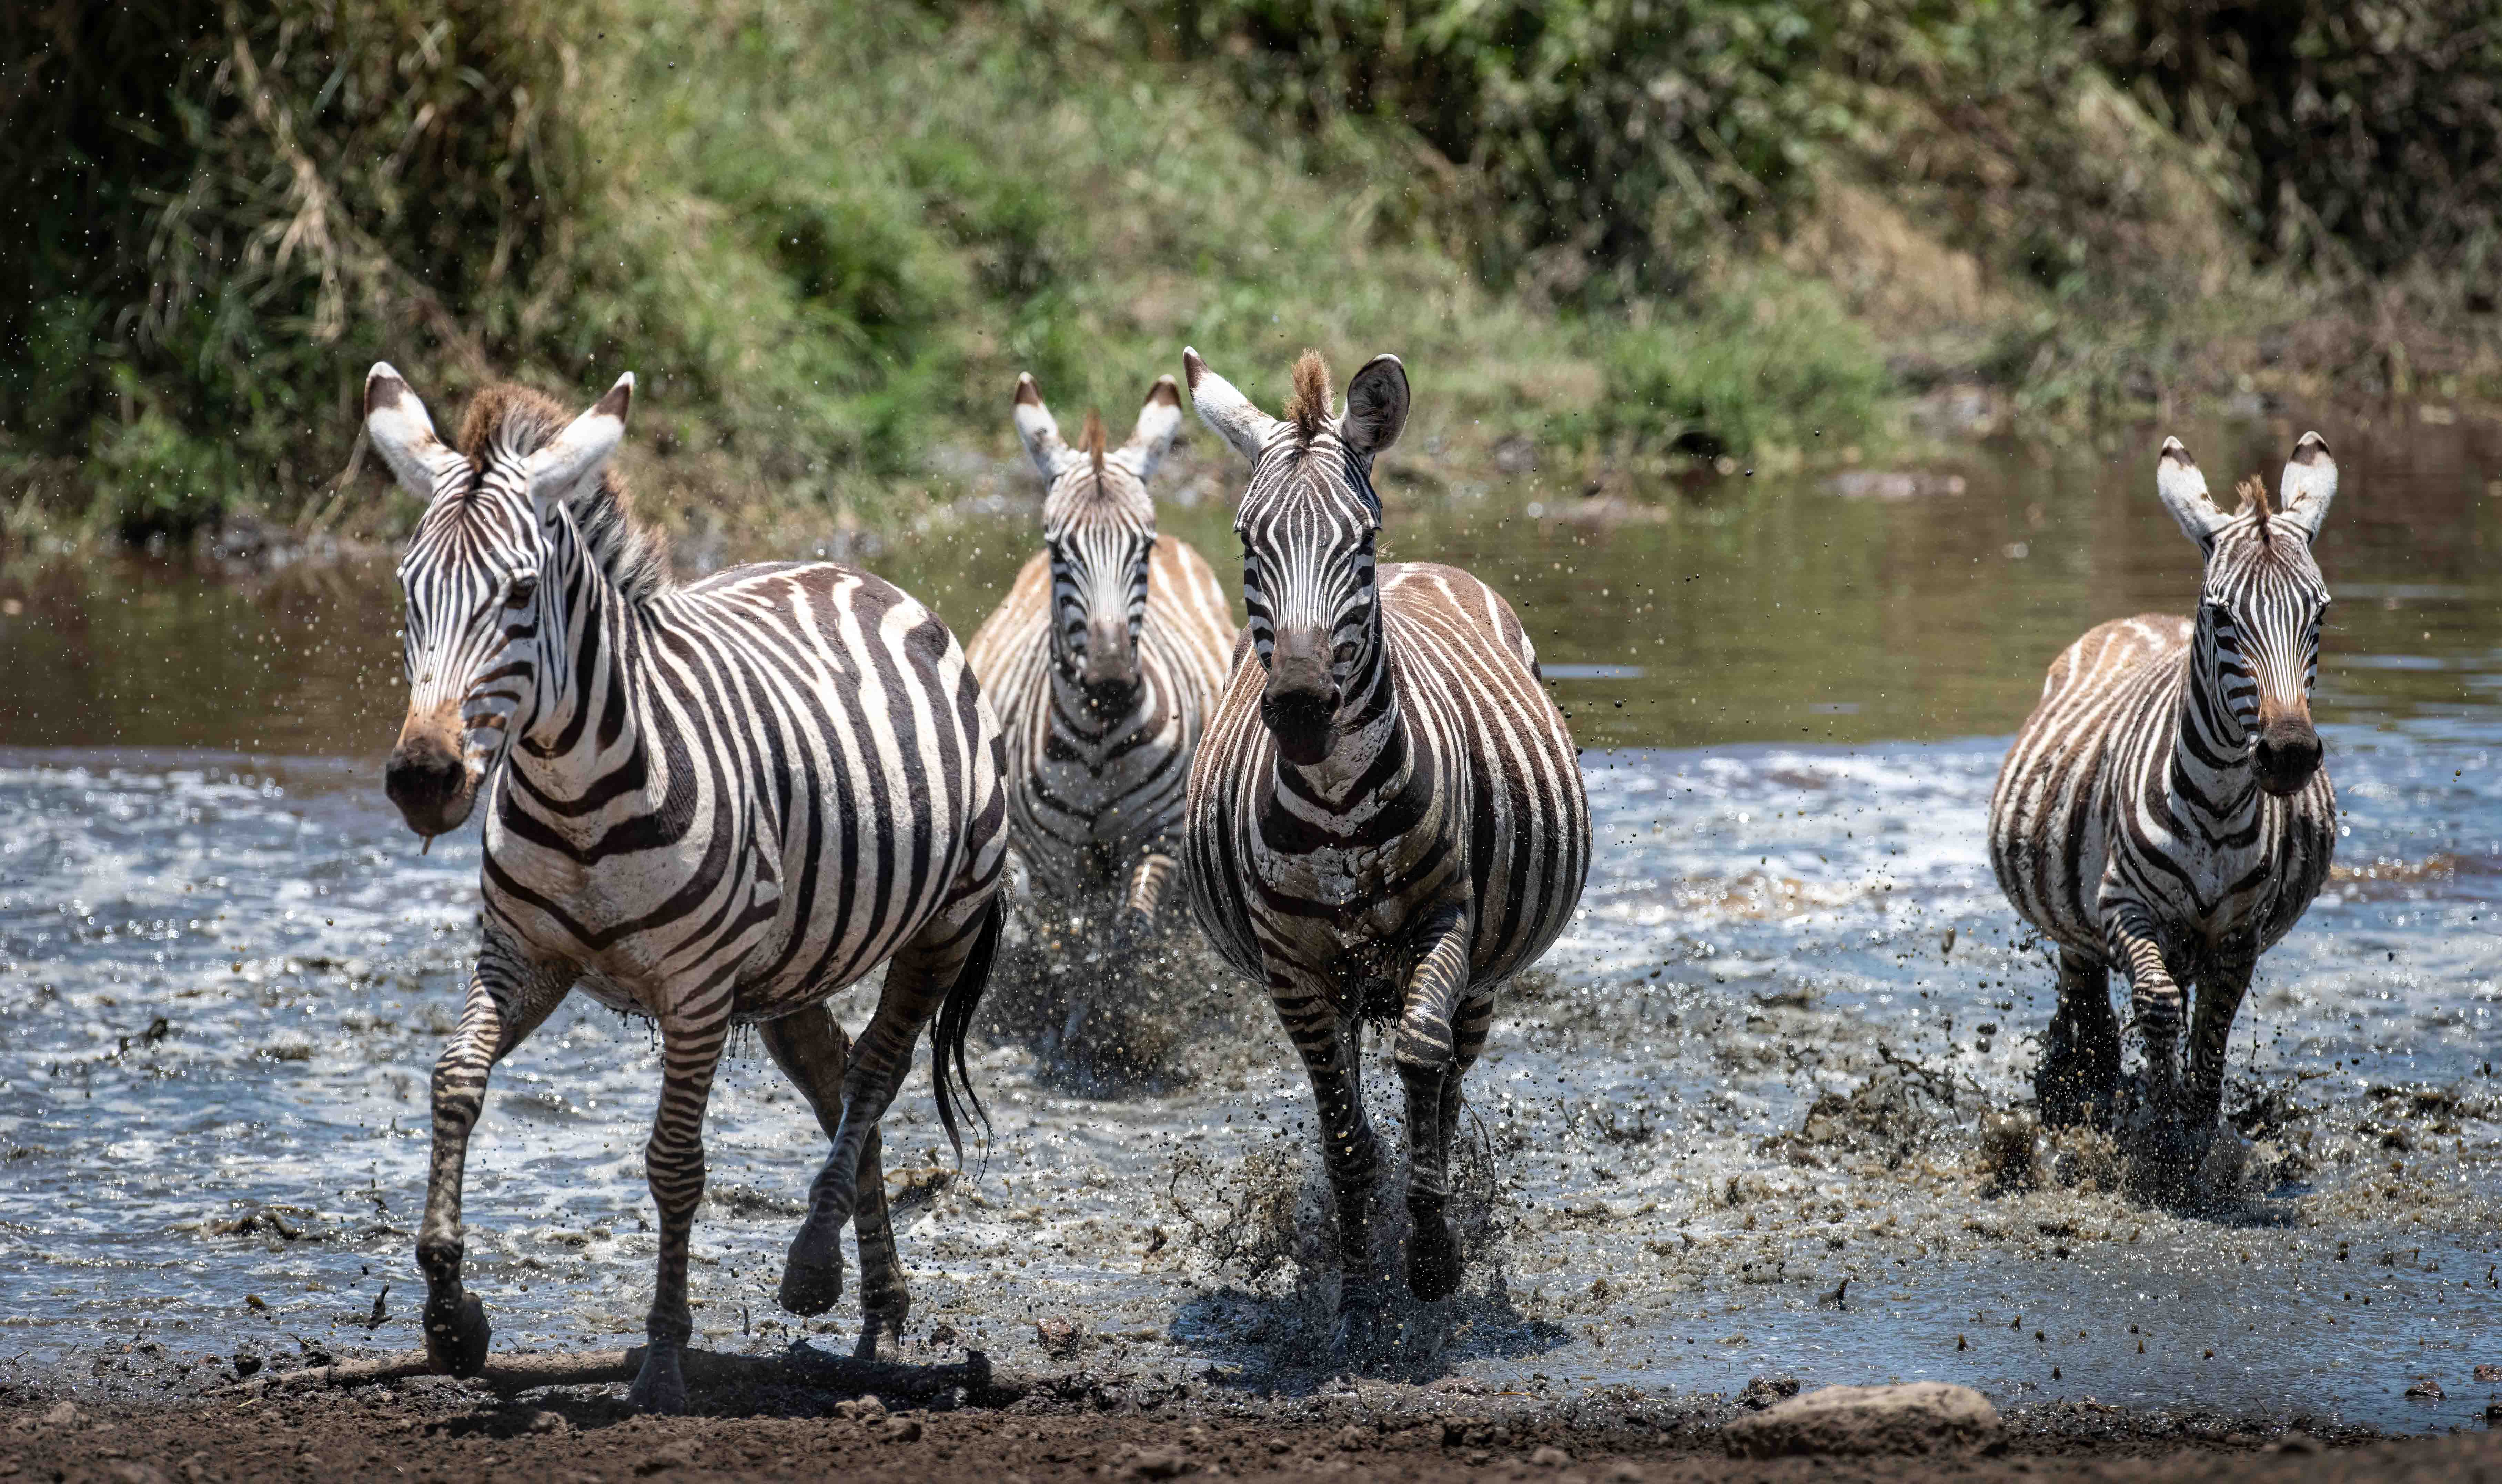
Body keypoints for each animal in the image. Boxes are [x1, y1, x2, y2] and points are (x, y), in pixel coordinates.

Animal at [364, 364, 1007, 1412]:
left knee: (876, 1073)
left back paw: (813, 1265)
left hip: (940, 928)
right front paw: (451, 1317)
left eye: (519, 592)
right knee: (838, 1083)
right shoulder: (523, 958)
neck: (576, 796)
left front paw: (663, 1362)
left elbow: (675, 1164)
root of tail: (854, 573)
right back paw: (879, 1306)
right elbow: (454, 1084)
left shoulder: (697, 991)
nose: (424, 778)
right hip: (792, 966)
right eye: (408, 591)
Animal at [962, 372, 1236, 937]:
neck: (1096, 747)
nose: (1110, 684)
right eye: (1057, 550)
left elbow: (1131, 937)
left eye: (1145, 547)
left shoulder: (1158, 843)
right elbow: (1064, 944)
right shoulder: (1052, 869)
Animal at [1178, 348, 1590, 1342]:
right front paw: (1362, 1292)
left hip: (1478, 973)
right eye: (1246, 541)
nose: (1297, 709)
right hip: (1343, 979)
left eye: (1357, 542)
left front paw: (1432, 1259)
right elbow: (1345, 1136)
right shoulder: (1293, 968)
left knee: (1446, 1075)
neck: (1337, 807)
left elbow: (1421, 1070)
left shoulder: (1441, 926)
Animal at [1987, 432, 2339, 1197]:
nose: (2288, 755)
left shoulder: (2238, 932)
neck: (2216, 805)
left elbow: (2211, 1027)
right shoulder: (2123, 906)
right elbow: (2154, 1003)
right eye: (2221, 616)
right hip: (2078, 923)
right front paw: (2155, 1132)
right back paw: (2080, 1094)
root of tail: (2139, 617)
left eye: (2319, 613)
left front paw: (2196, 1137)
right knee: (2089, 1005)